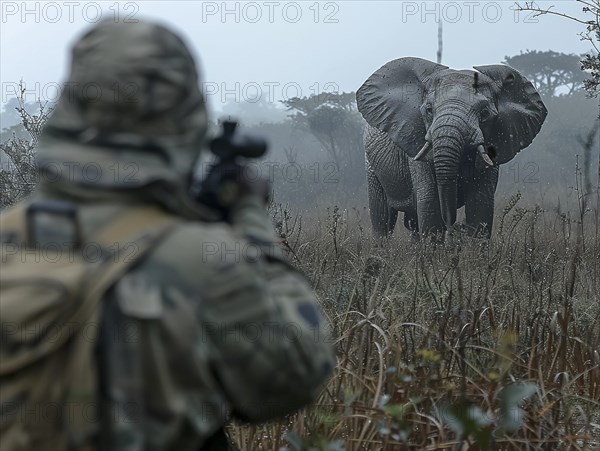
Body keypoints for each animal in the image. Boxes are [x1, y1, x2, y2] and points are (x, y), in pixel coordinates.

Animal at [356, 57, 548, 240]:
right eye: (429, 109)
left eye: (485, 113)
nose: (454, 224)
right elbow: (430, 204)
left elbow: (481, 206)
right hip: (371, 166)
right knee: (383, 220)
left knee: (413, 224)